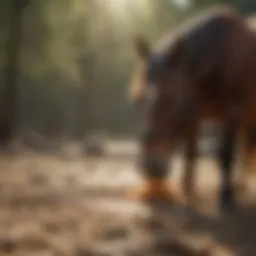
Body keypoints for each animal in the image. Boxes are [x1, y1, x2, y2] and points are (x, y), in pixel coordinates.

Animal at [130, 5, 256, 212]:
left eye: (171, 97)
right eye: (140, 99)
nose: (151, 167)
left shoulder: (231, 113)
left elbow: (225, 154)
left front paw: (226, 198)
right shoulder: (193, 116)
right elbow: (190, 153)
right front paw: (188, 194)